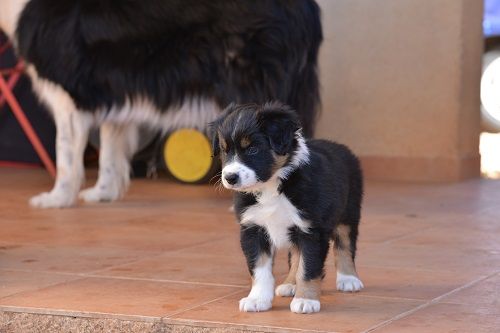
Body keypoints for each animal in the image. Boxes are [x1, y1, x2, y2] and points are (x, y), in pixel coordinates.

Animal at [0, 0, 322, 208]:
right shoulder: (115, 90)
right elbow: (110, 152)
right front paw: (103, 193)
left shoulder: (68, 95)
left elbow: (65, 155)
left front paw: (56, 199)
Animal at [210, 103, 364, 314]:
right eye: (224, 150)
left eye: (253, 149)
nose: (230, 178)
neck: (272, 186)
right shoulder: (253, 228)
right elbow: (260, 269)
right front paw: (257, 299)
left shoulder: (311, 229)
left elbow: (309, 267)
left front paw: (306, 300)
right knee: (296, 256)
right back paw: (290, 284)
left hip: (348, 214)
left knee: (345, 245)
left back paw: (348, 279)